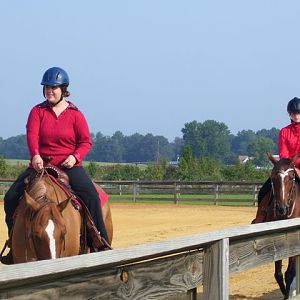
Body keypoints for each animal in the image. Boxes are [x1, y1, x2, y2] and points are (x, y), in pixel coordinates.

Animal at [258, 155, 300, 300]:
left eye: (291, 177)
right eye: (273, 178)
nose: (281, 208)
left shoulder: (294, 242)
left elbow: (290, 273)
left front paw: (287, 295)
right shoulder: (276, 241)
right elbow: (278, 274)